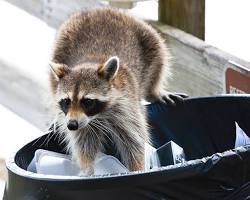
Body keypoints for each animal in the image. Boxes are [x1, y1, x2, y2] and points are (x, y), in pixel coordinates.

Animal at [48, 7, 183, 173]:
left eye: (87, 101)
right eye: (66, 101)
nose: (71, 125)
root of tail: (101, 9)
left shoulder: (127, 106)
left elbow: (134, 140)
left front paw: (137, 168)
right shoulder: (80, 121)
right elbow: (84, 142)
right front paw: (88, 169)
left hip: (148, 37)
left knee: (160, 59)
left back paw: (154, 91)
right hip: (61, 45)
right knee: (52, 80)